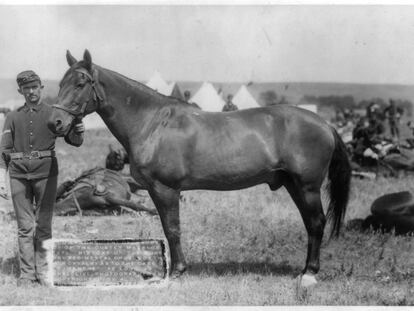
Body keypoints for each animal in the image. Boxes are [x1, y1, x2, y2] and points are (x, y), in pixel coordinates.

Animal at [47, 49, 352, 288]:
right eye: (61, 82)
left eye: (80, 83)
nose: (55, 123)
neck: (153, 123)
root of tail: (325, 124)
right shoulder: (156, 190)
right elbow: (167, 226)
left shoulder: (166, 189)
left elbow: (172, 228)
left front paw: (177, 271)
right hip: (293, 185)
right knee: (310, 224)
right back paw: (305, 271)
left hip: (307, 186)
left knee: (316, 222)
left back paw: (309, 275)